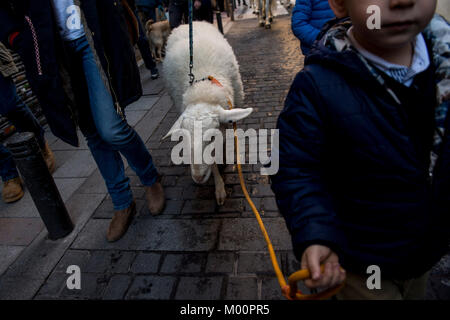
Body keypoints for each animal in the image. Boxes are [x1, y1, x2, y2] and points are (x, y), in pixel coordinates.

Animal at [162, 21, 253, 205]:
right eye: (183, 138)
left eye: (211, 137)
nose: (198, 177)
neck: (203, 91)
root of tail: (188, 23)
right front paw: (219, 187)